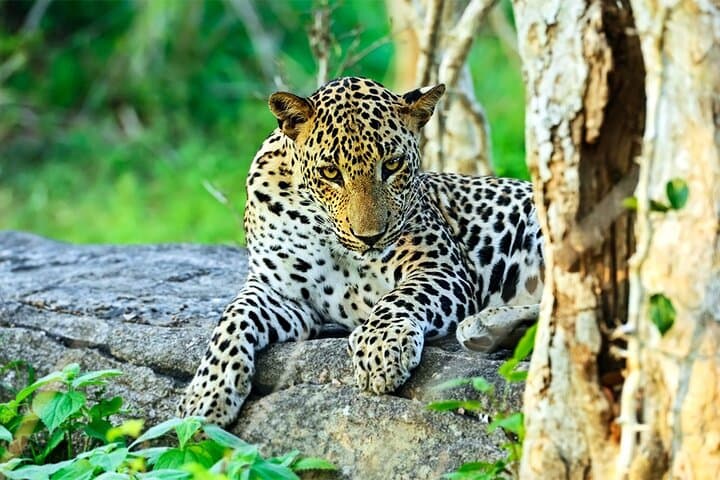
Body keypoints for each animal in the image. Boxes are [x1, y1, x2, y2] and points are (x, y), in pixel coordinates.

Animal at [177, 77, 544, 426]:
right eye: (330, 172)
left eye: (392, 165)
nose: (370, 237)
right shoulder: (280, 292)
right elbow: (233, 318)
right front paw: (204, 395)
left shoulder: (441, 267)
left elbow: (401, 296)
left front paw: (380, 347)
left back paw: (483, 326)